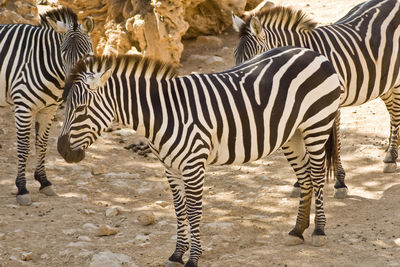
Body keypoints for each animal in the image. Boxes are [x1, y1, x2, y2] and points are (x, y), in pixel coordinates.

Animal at [0, 7, 94, 206]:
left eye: (85, 55)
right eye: (62, 53)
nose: (69, 91)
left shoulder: (49, 109)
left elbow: (42, 143)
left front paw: (43, 181)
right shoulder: (23, 107)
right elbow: (24, 147)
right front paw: (22, 188)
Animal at [57, 47, 342, 266]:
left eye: (81, 109)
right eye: (66, 106)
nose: (61, 150)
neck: (163, 113)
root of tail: (313, 53)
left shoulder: (193, 165)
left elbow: (194, 212)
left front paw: (193, 258)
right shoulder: (170, 167)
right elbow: (179, 210)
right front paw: (177, 254)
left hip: (316, 126)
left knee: (317, 177)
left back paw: (319, 231)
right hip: (291, 134)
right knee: (305, 178)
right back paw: (297, 230)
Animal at [233, 0, 400, 199]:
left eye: (254, 58)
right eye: (235, 59)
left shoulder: (331, 104)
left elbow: (336, 144)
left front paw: (339, 182)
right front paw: (299, 183)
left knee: (396, 112)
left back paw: (391, 157)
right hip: (384, 80)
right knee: (393, 110)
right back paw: (392, 153)